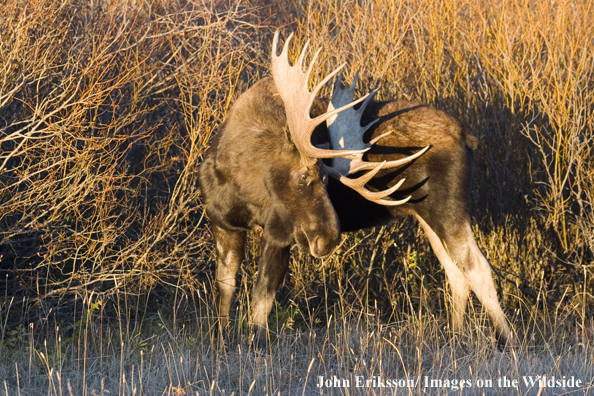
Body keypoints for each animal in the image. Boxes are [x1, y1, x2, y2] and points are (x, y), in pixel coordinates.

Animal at [199, 30, 512, 346]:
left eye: (327, 179)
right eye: (304, 176)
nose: (327, 239)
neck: (238, 184)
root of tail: (467, 136)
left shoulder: (279, 232)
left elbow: (261, 297)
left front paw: (257, 345)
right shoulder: (223, 224)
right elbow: (224, 289)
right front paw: (220, 343)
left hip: (449, 207)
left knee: (477, 267)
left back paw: (506, 340)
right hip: (425, 213)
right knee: (455, 272)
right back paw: (455, 338)